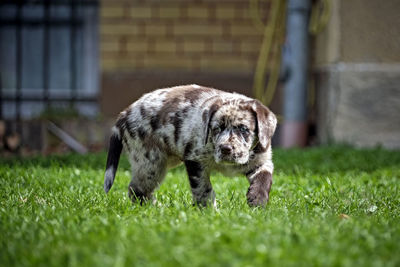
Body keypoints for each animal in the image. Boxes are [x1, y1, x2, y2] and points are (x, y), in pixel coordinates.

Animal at [104, 85, 276, 207]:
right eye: (217, 129)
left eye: (243, 129)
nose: (225, 149)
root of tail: (124, 114)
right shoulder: (195, 160)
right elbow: (204, 189)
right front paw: (210, 211)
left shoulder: (262, 161)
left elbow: (264, 177)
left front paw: (257, 199)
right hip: (150, 163)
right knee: (136, 189)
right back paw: (153, 208)